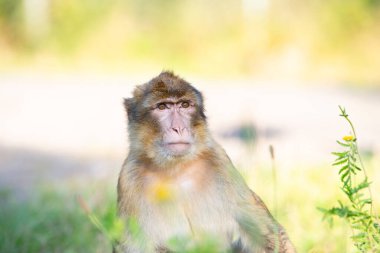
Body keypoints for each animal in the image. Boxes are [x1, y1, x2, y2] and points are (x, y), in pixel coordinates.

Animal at [116, 71, 296, 253]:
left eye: (184, 105)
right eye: (162, 107)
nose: (179, 129)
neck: (176, 169)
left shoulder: (221, 163)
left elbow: (266, 232)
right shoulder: (129, 179)